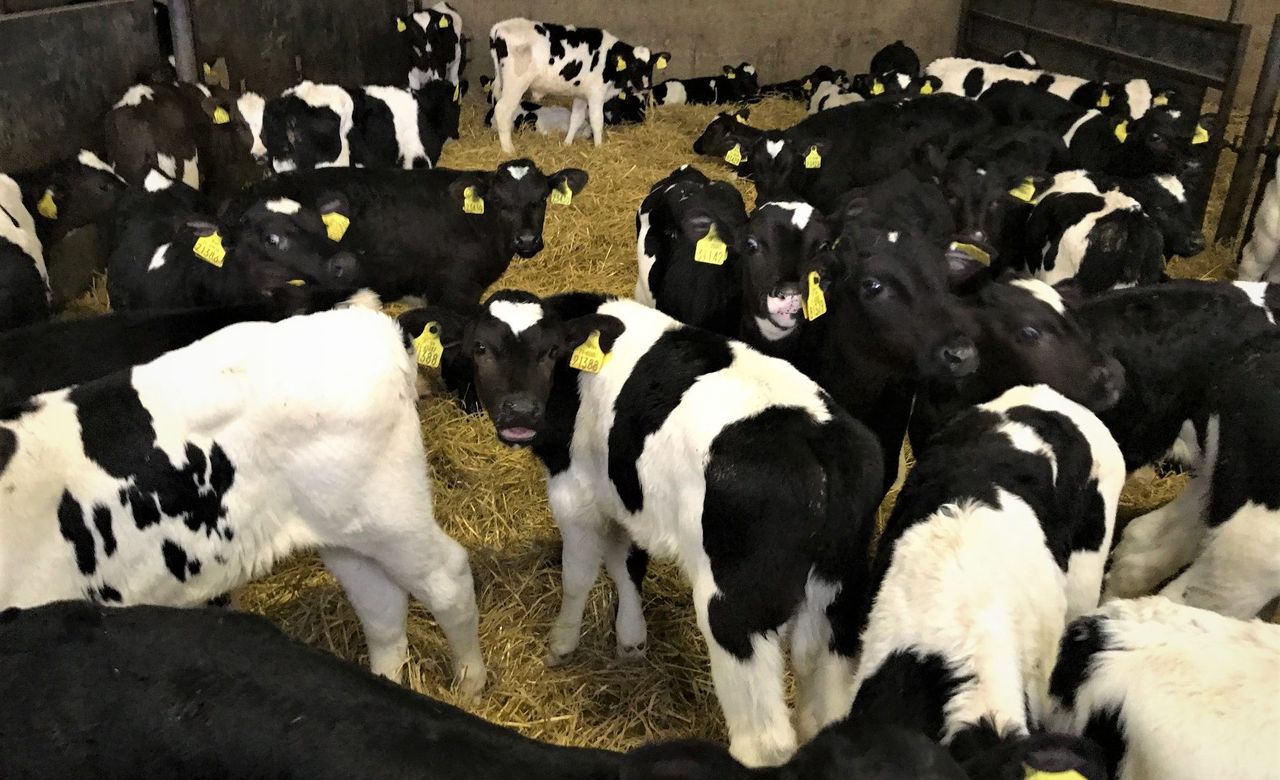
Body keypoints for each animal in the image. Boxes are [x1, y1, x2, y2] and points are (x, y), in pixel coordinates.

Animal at [0, 307, 485, 693]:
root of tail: (374, 326)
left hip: (391, 514)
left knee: (448, 576)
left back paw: (469, 684)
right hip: (344, 530)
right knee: (380, 604)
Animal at [400, 292, 885, 767]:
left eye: (552, 351)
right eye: (481, 347)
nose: (520, 413)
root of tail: (820, 438)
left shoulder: (573, 492)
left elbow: (579, 575)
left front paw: (562, 644)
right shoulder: (621, 493)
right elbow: (626, 563)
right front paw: (631, 641)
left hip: (734, 611)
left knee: (764, 742)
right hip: (841, 597)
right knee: (826, 710)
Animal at [487, 18, 670, 152]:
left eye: (651, 66)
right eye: (632, 66)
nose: (646, 85)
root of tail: (501, 26)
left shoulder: (581, 94)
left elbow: (575, 118)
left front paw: (567, 143)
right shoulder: (596, 93)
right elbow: (597, 121)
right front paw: (598, 147)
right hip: (515, 84)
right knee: (502, 110)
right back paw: (509, 149)